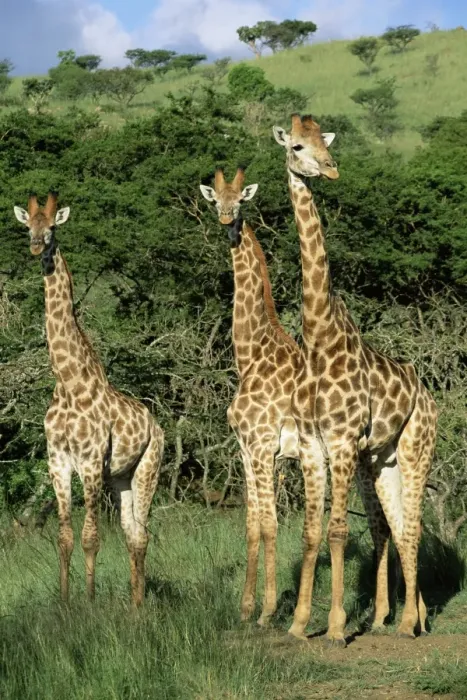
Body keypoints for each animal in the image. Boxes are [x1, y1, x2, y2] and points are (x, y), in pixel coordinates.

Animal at [14, 192, 164, 606]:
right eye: (28, 225)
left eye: (52, 227)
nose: (37, 246)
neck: (68, 381)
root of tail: (157, 425)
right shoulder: (58, 462)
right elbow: (65, 538)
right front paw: (66, 605)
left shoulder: (92, 462)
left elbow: (91, 538)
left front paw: (91, 604)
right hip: (121, 479)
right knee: (132, 533)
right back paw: (134, 605)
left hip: (148, 467)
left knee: (141, 533)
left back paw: (139, 607)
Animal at [273, 114, 438, 646]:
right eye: (297, 146)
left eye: (325, 142)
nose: (330, 168)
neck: (318, 339)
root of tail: (429, 395)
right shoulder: (311, 445)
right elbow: (311, 532)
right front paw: (299, 624)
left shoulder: (343, 442)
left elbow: (340, 530)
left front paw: (337, 627)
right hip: (382, 460)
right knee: (399, 525)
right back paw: (415, 616)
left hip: (416, 447)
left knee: (413, 528)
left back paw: (406, 624)